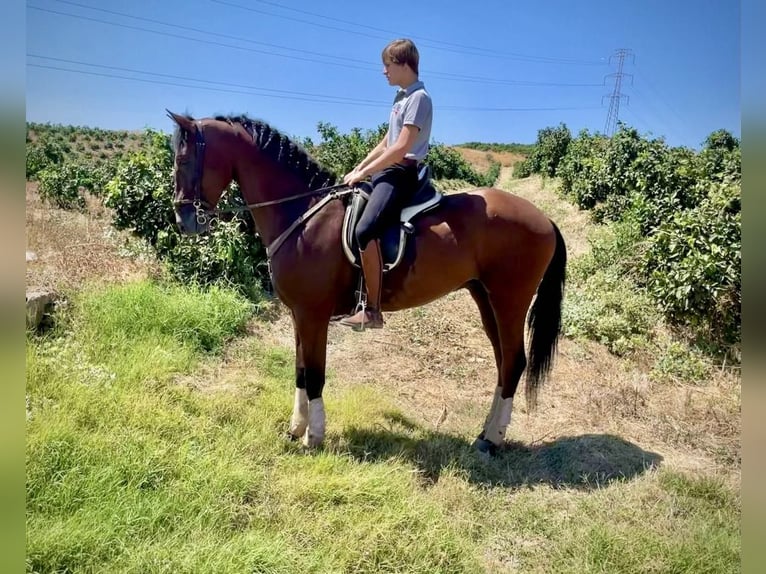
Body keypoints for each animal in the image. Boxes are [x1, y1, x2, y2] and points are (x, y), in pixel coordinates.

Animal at [165, 110, 568, 456]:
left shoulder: (313, 315)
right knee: (503, 364)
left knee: (514, 362)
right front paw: (295, 429)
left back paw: (491, 440)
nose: (184, 221)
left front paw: (314, 437)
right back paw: (485, 433)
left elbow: (315, 375)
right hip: (486, 299)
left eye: (183, 160)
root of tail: (543, 219)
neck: (302, 214)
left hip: (509, 300)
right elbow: (299, 372)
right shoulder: (298, 314)